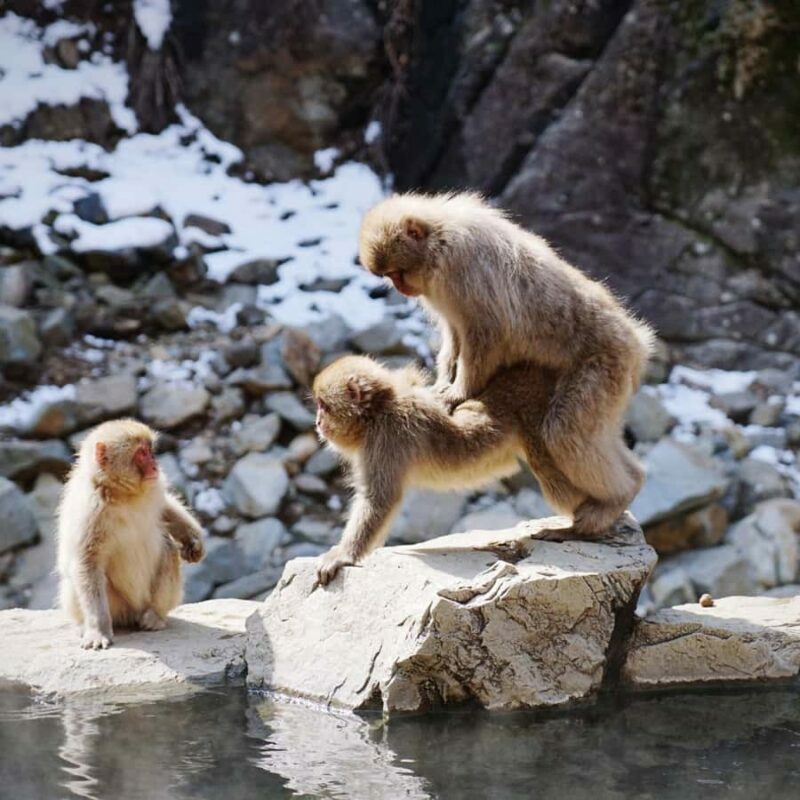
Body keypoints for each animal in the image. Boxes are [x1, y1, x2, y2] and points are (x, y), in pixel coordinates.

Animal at [56, 419, 205, 650]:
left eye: (150, 451)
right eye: (142, 454)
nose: (155, 465)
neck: (121, 494)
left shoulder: (155, 487)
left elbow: (165, 508)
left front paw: (192, 540)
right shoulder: (89, 512)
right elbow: (87, 563)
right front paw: (97, 630)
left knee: (168, 550)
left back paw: (155, 615)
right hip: (116, 604)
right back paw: (85, 625)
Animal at [312, 355, 591, 586]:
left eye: (324, 406)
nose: (317, 422)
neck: (378, 412)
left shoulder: (387, 440)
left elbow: (379, 499)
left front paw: (343, 555)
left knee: (548, 464)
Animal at [358, 192, 653, 536]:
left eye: (398, 272)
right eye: (390, 276)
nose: (399, 287)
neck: (438, 242)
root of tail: (637, 345)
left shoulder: (464, 267)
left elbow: (487, 332)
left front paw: (459, 392)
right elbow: (454, 332)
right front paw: (443, 382)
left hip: (604, 367)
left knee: (564, 432)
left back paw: (617, 498)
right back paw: (634, 478)